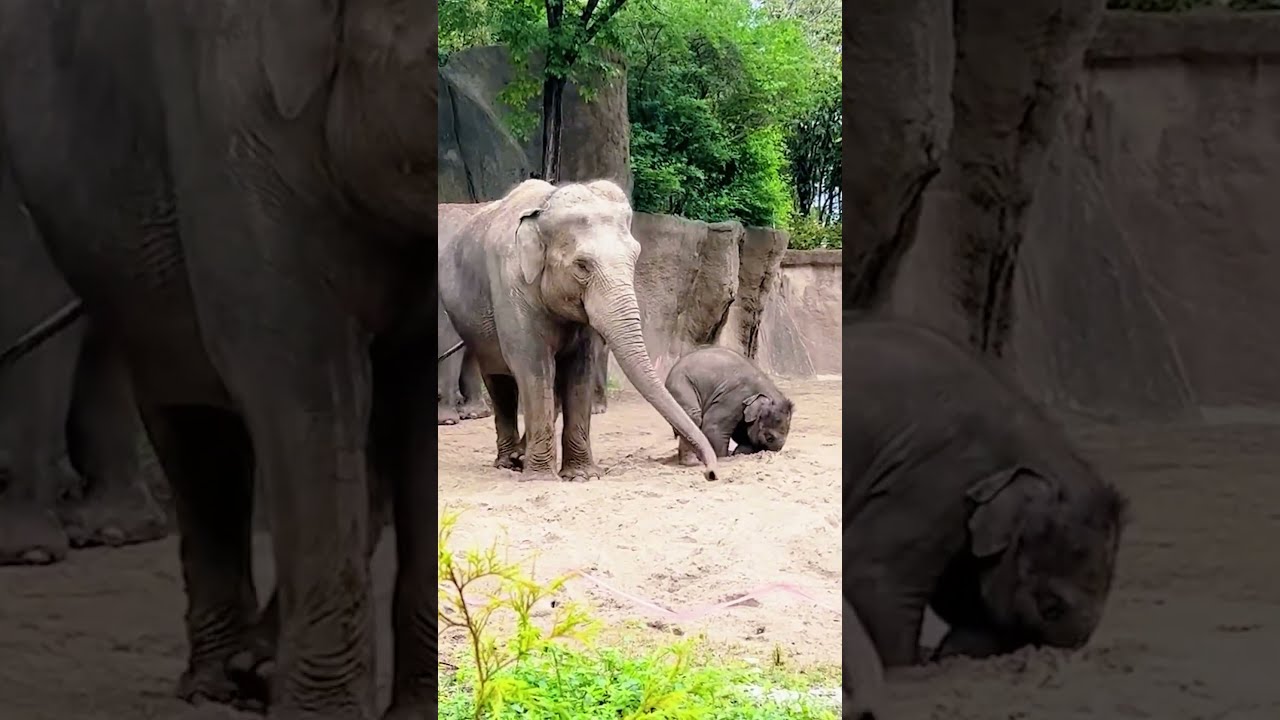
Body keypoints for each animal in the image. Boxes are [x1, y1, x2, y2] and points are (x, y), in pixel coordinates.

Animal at [438, 180, 719, 482]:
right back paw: (507, 462)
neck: (545, 207)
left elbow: (579, 367)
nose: (710, 473)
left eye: (635, 258)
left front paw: (582, 476)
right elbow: (533, 365)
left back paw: (518, 458)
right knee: (498, 379)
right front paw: (541, 479)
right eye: (582, 265)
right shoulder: (512, 287)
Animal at [663, 346, 793, 464]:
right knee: (693, 416)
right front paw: (724, 457)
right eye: (769, 438)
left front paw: (738, 452)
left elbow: (741, 432)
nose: (762, 454)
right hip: (681, 383)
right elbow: (714, 427)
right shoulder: (733, 398)